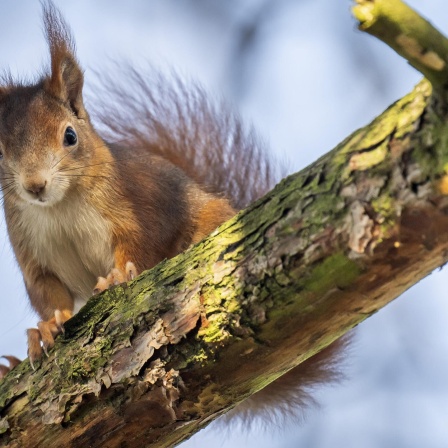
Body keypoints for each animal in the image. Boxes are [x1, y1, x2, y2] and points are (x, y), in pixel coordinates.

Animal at [0, 0, 346, 424]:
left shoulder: (135, 208)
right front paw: (46, 329)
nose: (35, 186)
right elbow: (48, 294)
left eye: (70, 136)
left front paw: (117, 277)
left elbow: (139, 246)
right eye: (0, 151)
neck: (59, 207)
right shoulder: (32, 252)